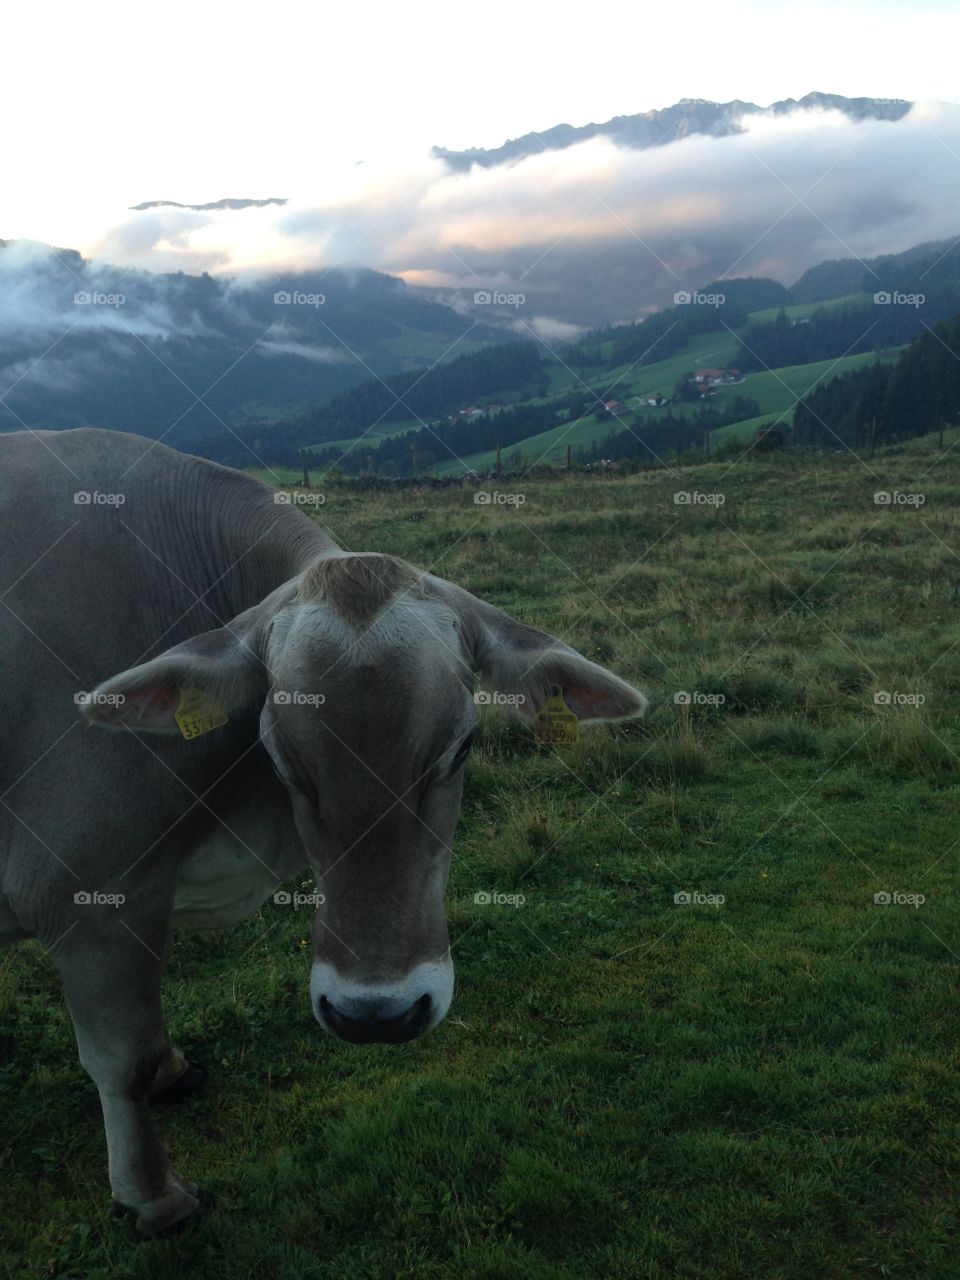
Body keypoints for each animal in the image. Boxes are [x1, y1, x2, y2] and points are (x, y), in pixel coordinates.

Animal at [0, 428, 647, 1235]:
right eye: (280, 757)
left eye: (462, 747)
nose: (378, 1014)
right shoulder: (88, 893)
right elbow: (125, 1058)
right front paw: (153, 1195)